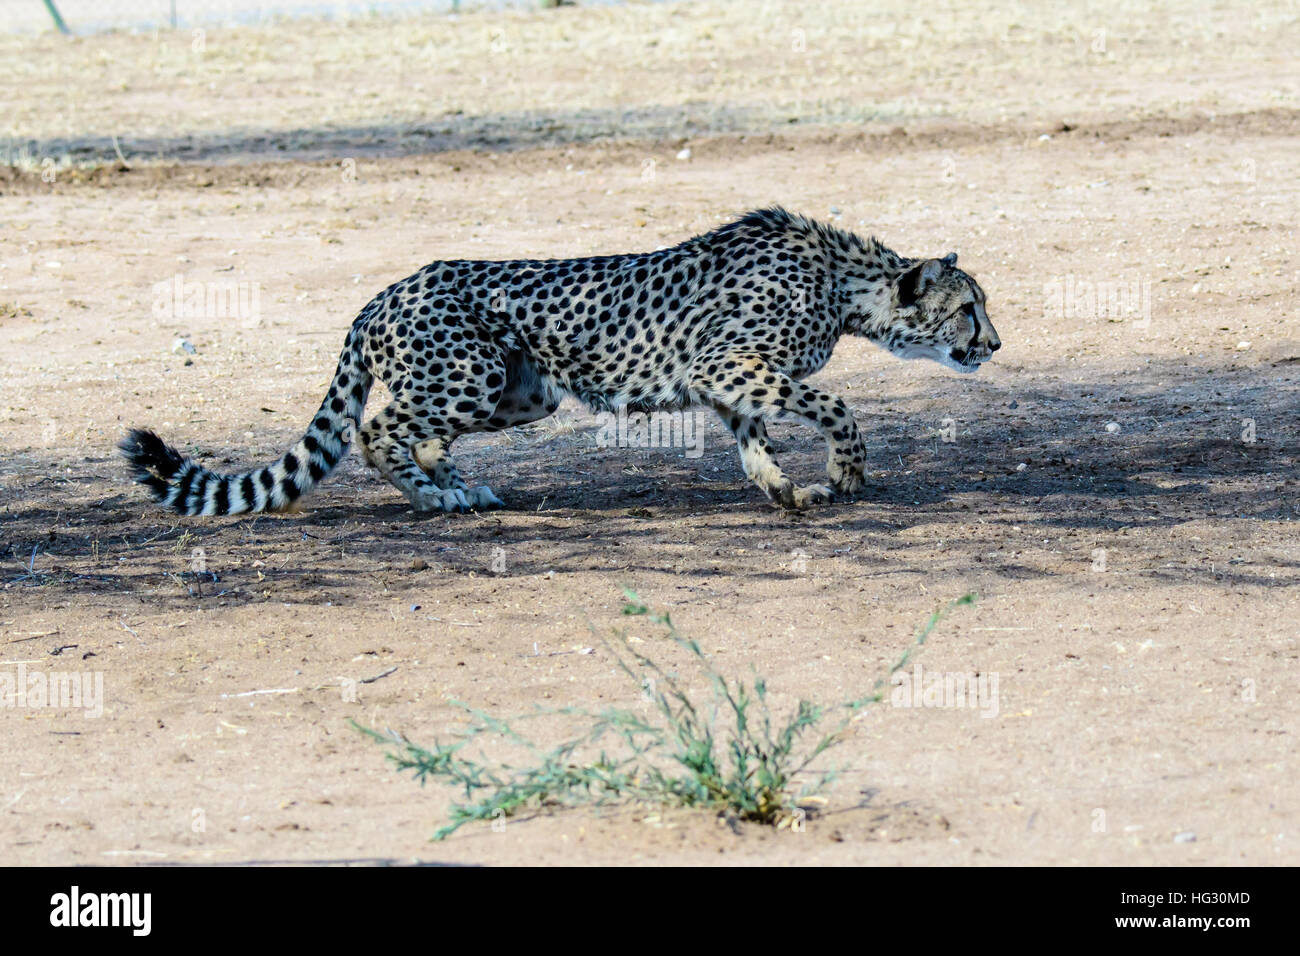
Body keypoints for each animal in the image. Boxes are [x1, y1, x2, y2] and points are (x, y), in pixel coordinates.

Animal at [120, 206, 1000, 515]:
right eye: (969, 307)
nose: (993, 344)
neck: (842, 280)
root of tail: (387, 290)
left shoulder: (729, 384)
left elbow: (756, 444)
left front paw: (785, 491)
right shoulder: (730, 365)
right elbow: (836, 407)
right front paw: (845, 473)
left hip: (522, 392)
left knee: (421, 435)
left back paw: (459, 488)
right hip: (469, 377)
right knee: (377, 428)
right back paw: (433, 498)